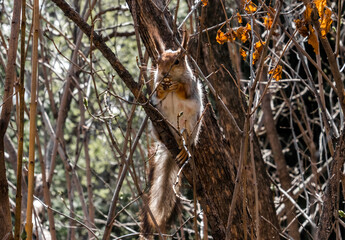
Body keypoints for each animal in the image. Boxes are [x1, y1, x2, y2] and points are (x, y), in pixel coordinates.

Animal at [140, 32, 203, 239]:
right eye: (158, 61)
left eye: (177, 61)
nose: (164, 73)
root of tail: (173, 141)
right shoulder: (155, 86)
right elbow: (158, 92)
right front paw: (162, 86)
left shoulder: (191, 85)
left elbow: (185, 91)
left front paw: (176, 86)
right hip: (157, 121)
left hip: (192, 126)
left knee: (187, 139)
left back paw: (184, 148)